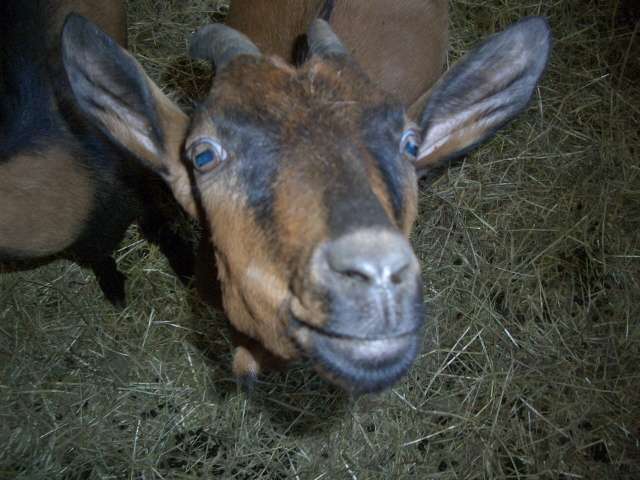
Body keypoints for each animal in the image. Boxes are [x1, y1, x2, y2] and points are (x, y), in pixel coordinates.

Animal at [0, 0, 195, 306]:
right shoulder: (83, 242)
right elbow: (99, 258)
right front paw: (114, 290)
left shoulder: (143, 189)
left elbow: (161, 229)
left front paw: (188, 270)